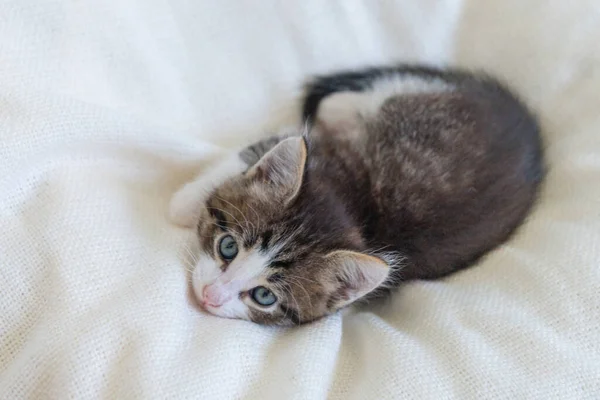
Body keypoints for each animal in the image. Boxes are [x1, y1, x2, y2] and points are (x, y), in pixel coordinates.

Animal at [169, 65, 544, 324]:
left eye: (264, 296)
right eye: (228, 248)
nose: (209, 296)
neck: (352, 200)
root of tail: (525, 123)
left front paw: (180, 204)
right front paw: (187, 203)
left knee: (345, 102)